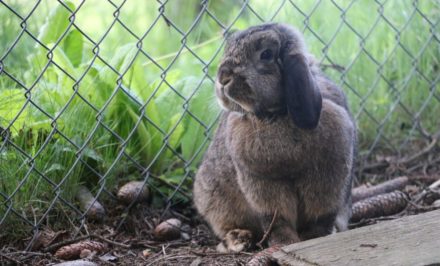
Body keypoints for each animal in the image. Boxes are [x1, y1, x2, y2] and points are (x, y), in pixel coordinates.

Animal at [192, 22, 354, 251]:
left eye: (266, 54)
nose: (223, 78)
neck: (276, 114)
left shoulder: (327, 179)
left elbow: (320, 217)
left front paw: (315, 238)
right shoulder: (263, 185)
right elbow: (276, 219)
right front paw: (285, 242)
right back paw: (238, 239)